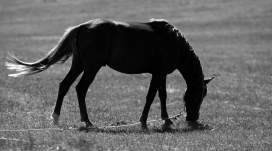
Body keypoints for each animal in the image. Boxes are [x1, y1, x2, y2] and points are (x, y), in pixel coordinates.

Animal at [4, 18, 215, 129]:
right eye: (202, 94)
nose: (193, 119)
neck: (174, 42)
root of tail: (82, 26)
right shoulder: (159, 73)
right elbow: (150, 96)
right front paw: (144, 122)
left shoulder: (160, 73)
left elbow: (162, 95)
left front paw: (166, 120)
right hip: (91, 67)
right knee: (80, 89)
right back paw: (87, 121)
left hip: (78, 65)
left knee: (64, 85)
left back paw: (56, 118)